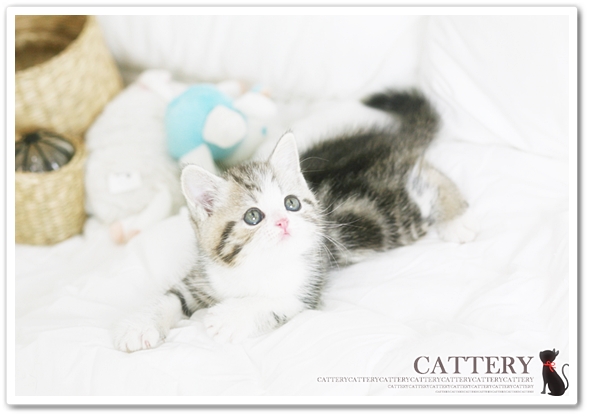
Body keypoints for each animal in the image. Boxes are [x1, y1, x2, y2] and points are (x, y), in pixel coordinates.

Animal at [113, 89, 477, 351]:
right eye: (253, 216)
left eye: (291, 203)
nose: (283, 222)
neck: (254, 267)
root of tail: (394, 143)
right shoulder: (204, 278)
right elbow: (170, 297)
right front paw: (139, 325)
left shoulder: (306, 289)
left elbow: (274, 302)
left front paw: (229, 317)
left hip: (396, 217)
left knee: (431, 175)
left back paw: (457, 219)